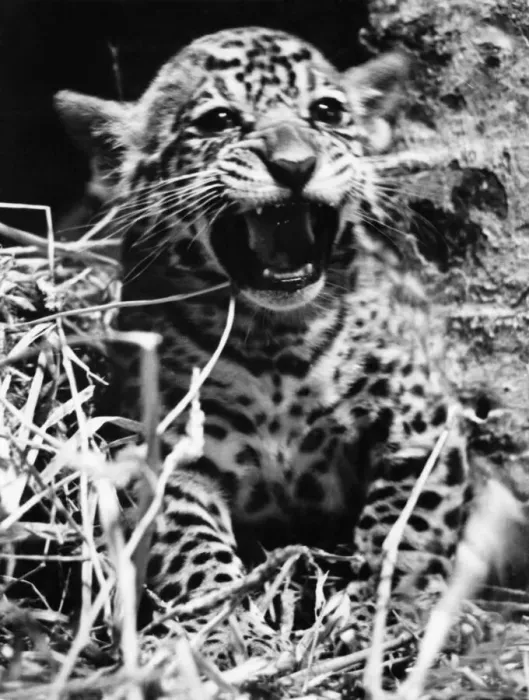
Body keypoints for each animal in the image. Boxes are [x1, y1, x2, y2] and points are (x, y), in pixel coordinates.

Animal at [55, 26, 470, 648]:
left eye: (327, 112)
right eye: (220, 119)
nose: (295, 164)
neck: (277, 342)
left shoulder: (420, 423)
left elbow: (410, 522)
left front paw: (395, 608)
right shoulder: (167, 451)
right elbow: (187, 540)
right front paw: (216, 629)